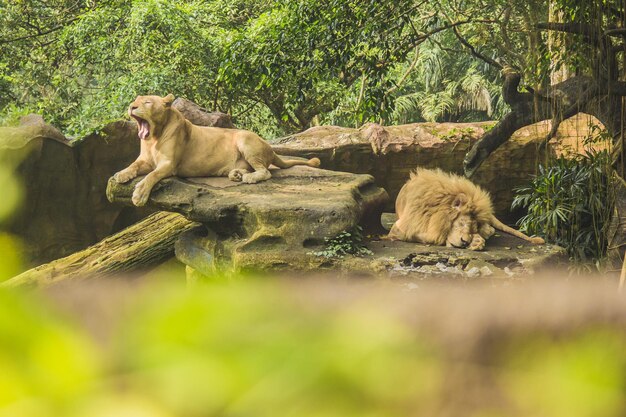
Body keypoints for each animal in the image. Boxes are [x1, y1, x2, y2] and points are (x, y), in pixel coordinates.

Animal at [112, 93, 324, 206]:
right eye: (136, 99)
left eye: (147, 102)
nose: (131, 106)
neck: (153, 137)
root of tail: (270, 148)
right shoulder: (145, 159)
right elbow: (133, 165)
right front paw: (120, 174)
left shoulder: (169, 164)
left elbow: (152, 176)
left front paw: (139, 195)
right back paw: (237, 174)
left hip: (245, 138)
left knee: (265, 172)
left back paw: (248, 178)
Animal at [388, 168, 544, 250]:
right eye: (461, 223)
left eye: (473, 229)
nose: (465, 242)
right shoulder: (400, 227)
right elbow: (428, 236)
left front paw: (477, 240)